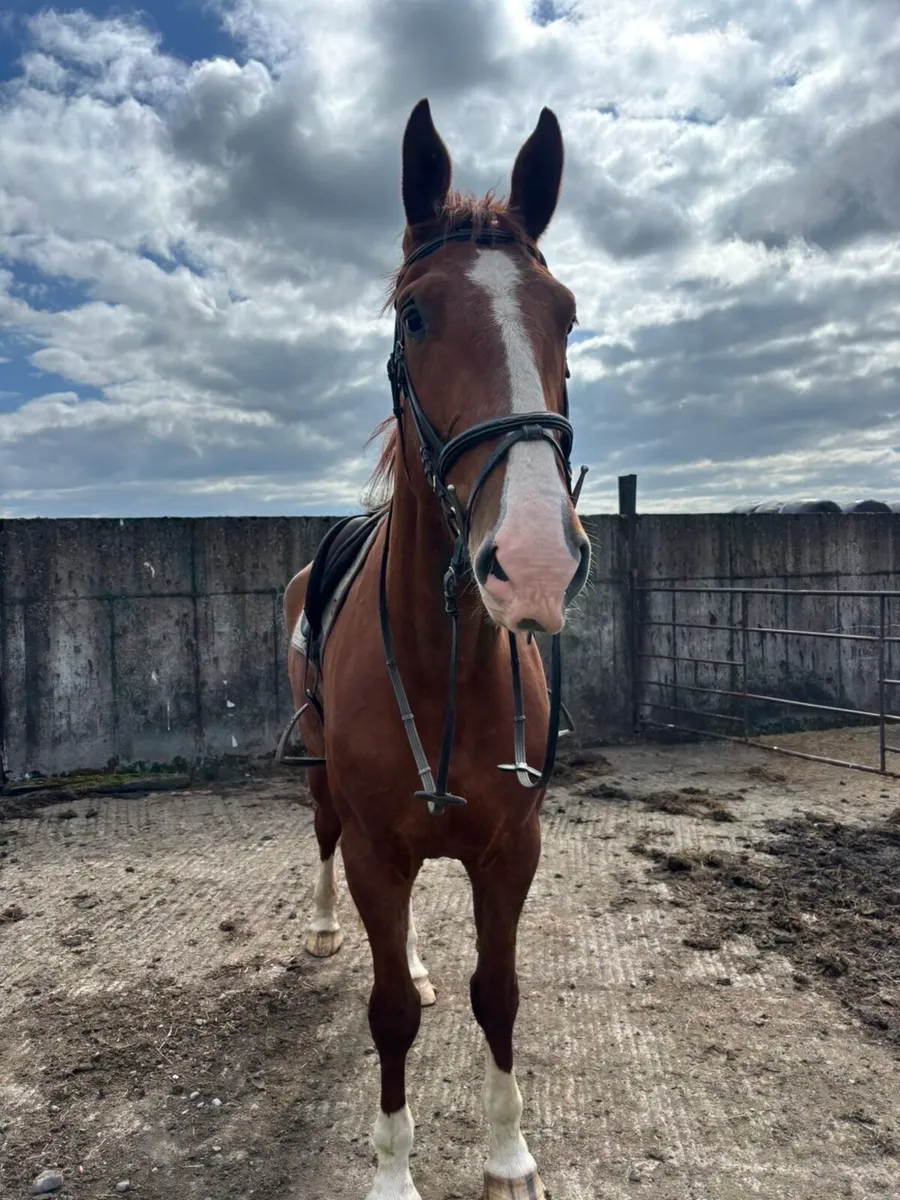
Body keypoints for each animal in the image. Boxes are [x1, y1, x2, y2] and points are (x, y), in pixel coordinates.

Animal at [281, 97, 590, 1200]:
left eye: (565, 314)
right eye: (415, 315)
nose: (534, 559)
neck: (443, 658)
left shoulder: (512, 850)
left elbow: (496, 992)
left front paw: (508, 1154)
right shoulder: (380, 850)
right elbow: (389, 1018)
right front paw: (391, 1172)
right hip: (323, 784)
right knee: (323, 843)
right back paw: (327, 927)